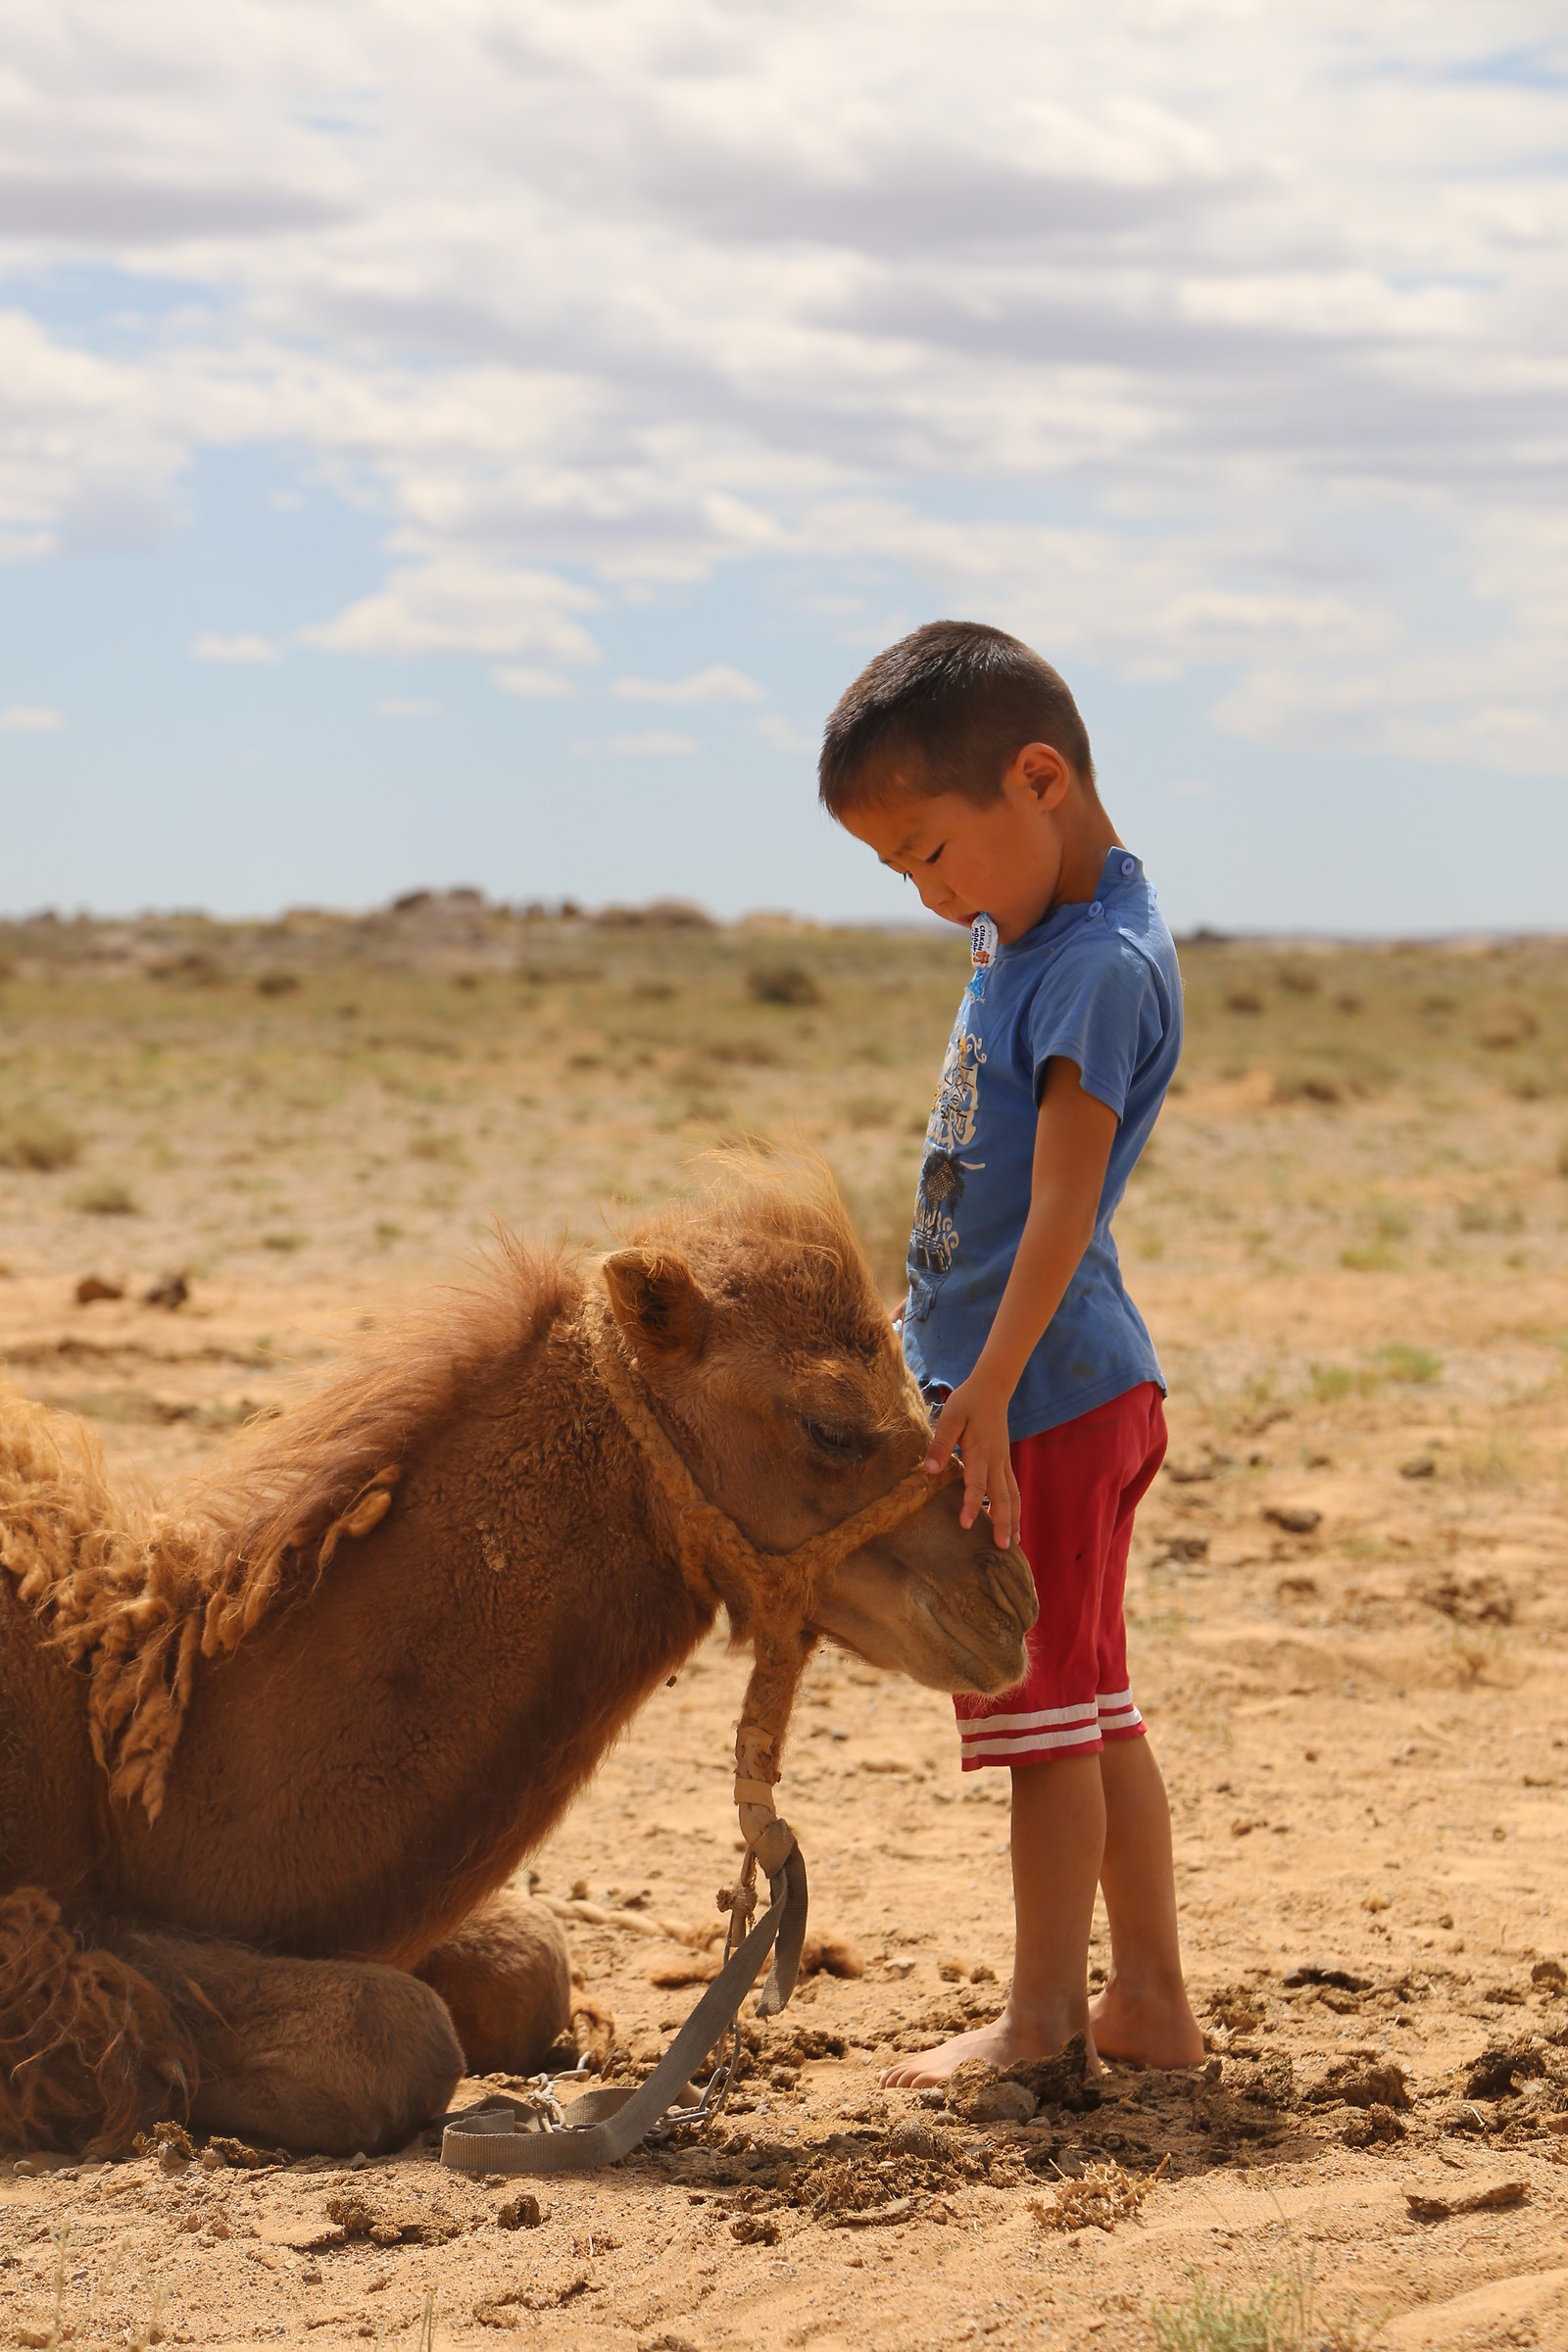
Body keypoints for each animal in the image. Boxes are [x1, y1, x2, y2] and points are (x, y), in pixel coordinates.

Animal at [1, 1162, 1035, 2158]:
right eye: (828, 1425)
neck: (126, 1764)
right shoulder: (45, 1945)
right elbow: (397, 2036)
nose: (1009, 1603)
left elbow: (531, 1956)